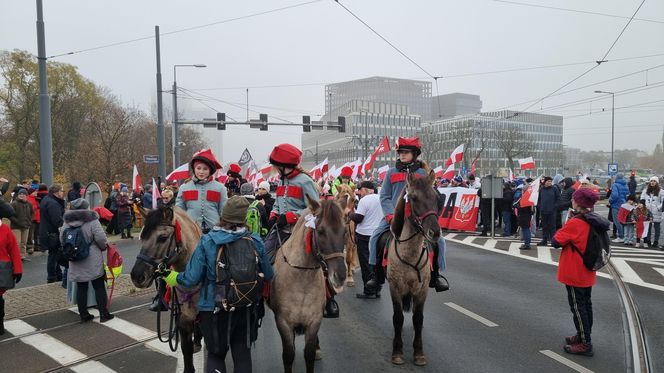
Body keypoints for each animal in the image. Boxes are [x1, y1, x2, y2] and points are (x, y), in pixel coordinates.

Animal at [270, 195, 348, 372]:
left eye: (344, 231)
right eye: (320, 231)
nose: (340, 276)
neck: (301, 279)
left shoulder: (314, 320)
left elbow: (309, 354)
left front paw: (315, 351)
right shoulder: (283, 322)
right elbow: (288, 354)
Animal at [384, 170, 440, 364]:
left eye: (436, 197)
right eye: (414, 198)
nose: (435, 232)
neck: (410, 253)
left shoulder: (422, 290)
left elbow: (418, 318)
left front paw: (419, 353)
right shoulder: (395, 287)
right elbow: (398, 317)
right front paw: (397, 351)